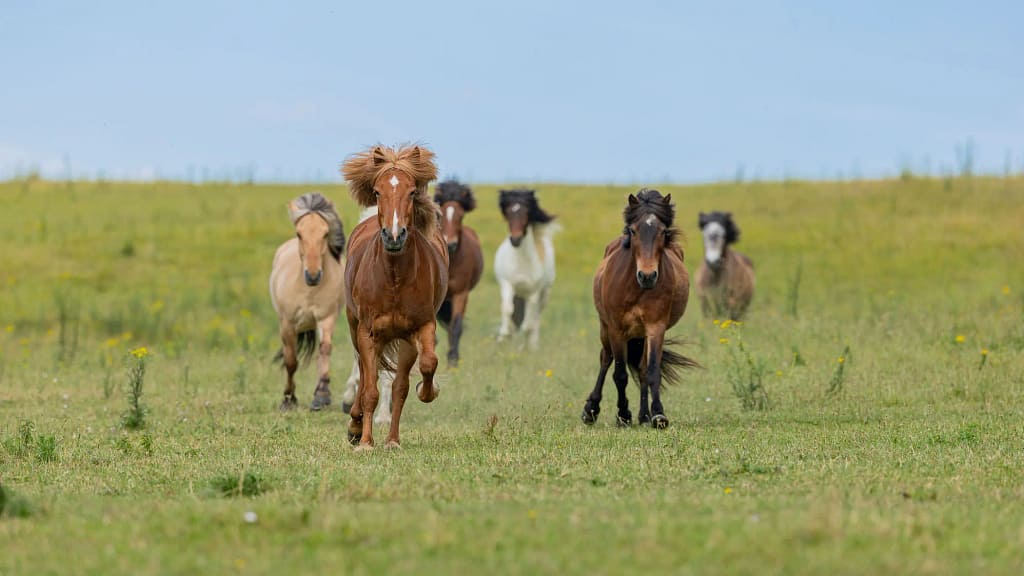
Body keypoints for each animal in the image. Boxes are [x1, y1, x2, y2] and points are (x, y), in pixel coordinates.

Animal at [269, 192, 346, 411]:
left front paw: (322, 396)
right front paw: (288, 399)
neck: (308, 290)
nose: (313, 276)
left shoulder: (327, 318)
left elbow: (325, 350)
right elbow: (290, 360)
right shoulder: (288, 323)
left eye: (326, 233)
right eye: (299, 234)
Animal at [340, 144, 448, 450]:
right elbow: (370, 388)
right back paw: (355, 426)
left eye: (412, 192)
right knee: (364, 373)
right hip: (355, 326)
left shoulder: (419, 328)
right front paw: (365, 442)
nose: (394, 236)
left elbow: (422, 369)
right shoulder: (368, 331)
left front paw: (428, 392)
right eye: (377, 191)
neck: (394, 278)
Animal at [434, 179, 484, 367]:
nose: (450, 244)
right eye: (440, 215)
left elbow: (455, 327)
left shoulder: (461, 294)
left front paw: (453, 361)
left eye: (461, 215)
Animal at [494, 189, 559, 349]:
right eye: (508, 213)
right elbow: (508, 309)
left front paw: (522, 346)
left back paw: (533, 345)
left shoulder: (533, 293)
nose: (515, 240)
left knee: (536, 318)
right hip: (518, 294)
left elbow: (527, 325)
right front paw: (503, 336)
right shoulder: (507, 284)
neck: (522, 262)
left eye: (526, 213)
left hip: (543, 295)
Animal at [582, 189, 698, 429]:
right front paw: (623, 414)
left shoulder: (656, 327)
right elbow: (620, 374)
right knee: (605, 359)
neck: (636, 288)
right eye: (633, 231)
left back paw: (643, 415)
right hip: (605, 328)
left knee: (643, 368)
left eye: (663, 231)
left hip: (640, 334)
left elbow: (652, 370)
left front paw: (657, 414)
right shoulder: (617, 329)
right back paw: (591, 410)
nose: (647, 276)